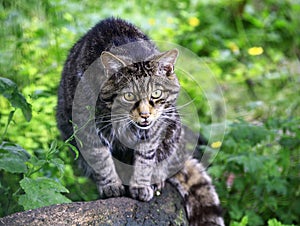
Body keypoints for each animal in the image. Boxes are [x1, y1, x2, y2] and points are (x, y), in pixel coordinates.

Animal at [57, 16, 224, 225]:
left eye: (156, 93)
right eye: (128, 96)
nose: (145, 114)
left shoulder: (153, 131)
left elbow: (145, 158)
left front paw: (141, 185)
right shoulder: (86, 125)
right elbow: (100, 157)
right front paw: (111, 185)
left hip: (173, 128)